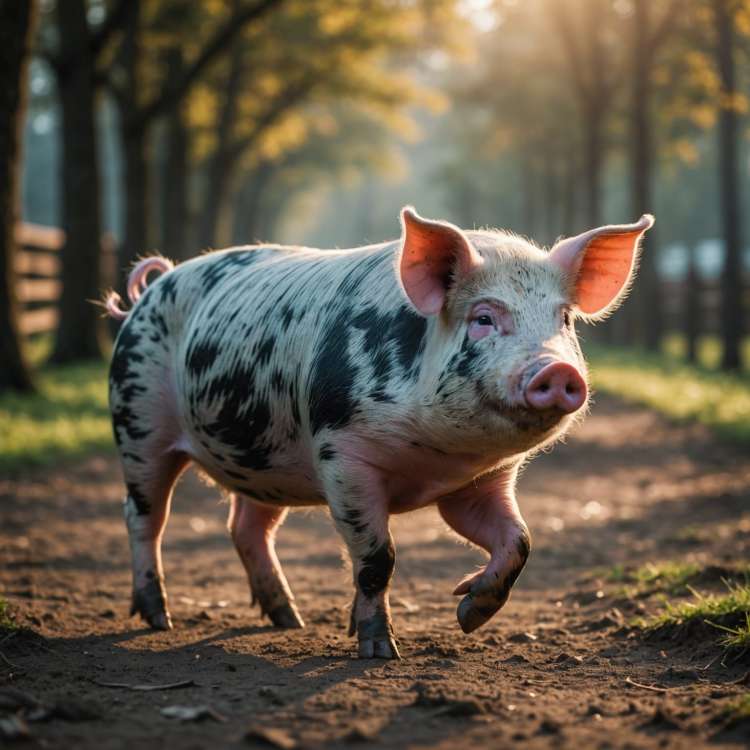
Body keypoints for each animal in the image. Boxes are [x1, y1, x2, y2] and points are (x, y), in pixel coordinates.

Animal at [105, 207, 653, 659]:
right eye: (483, 317)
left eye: (564, 319)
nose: (557, 371)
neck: (436, 457)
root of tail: (153, 286)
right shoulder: (343, 455)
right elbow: (376, 558)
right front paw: (379, 650)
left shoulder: (479, 481)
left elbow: (519, 540)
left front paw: (468, 613)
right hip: (137, 421)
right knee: (143, 517)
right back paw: (158, 618)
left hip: (263, 456)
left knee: (246, 526)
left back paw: (288, 619)